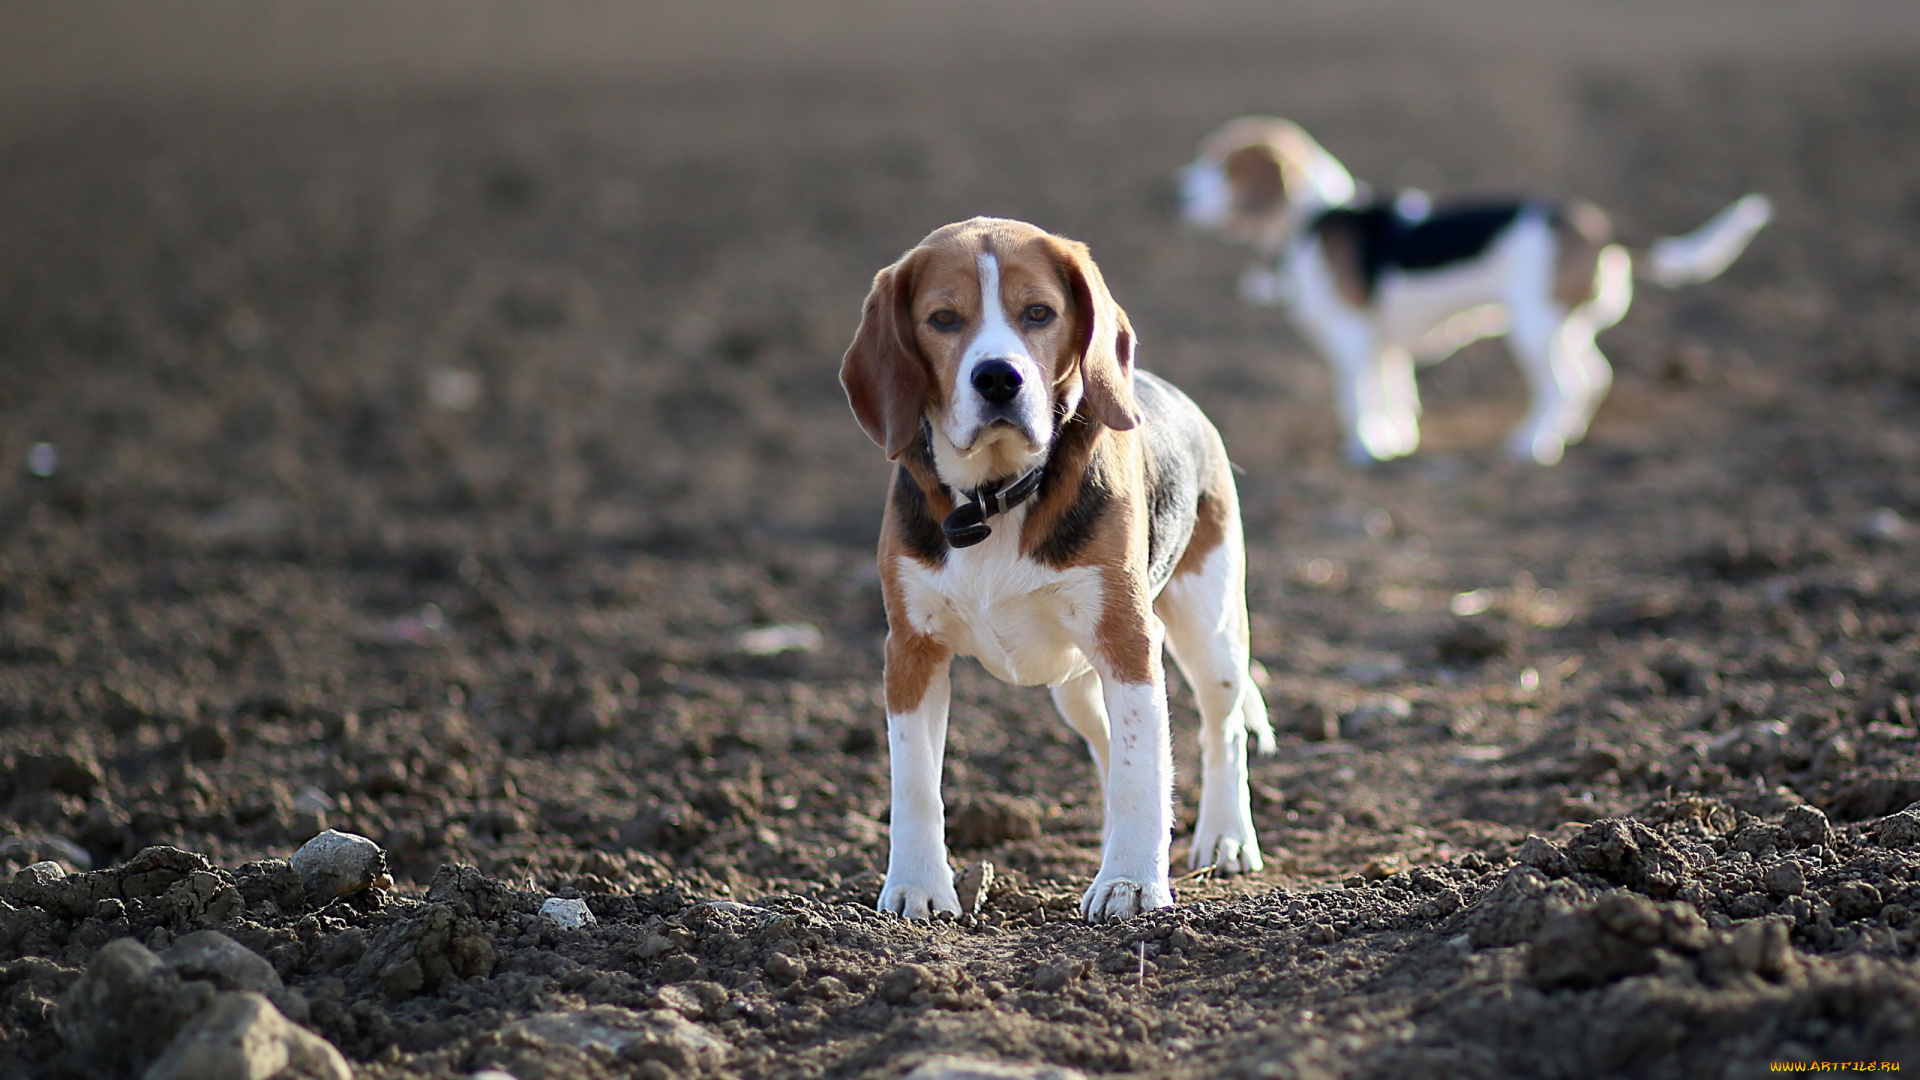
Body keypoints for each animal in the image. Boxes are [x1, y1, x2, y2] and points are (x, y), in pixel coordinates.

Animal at [844, 216, 1274, 914]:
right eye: (943, 319)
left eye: (1039, 313)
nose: (999, 377)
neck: (994, 495)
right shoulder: (910, 649)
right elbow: (913, 782)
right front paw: (916, 888)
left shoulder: (1127, 641)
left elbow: (1141, 771)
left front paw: (1131, 883)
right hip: (1074, 683)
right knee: (1107, 744)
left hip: (1210, 631)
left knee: (1222, 730)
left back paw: (1226, 838)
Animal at [1175, 116, 1774, 463]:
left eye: (1224, 165)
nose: (1172, 194)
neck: (1315, 217)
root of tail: (1593, 222)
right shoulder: (1384, 346)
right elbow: (1394, 395)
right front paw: (1397, 442)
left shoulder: (1352, 342)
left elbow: (1356, 400)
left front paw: (1365, 449)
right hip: (1562, 327)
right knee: (1593, 377)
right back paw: (1566, 435)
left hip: (1533, 330)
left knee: (1565, 386)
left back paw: (1532, 446)